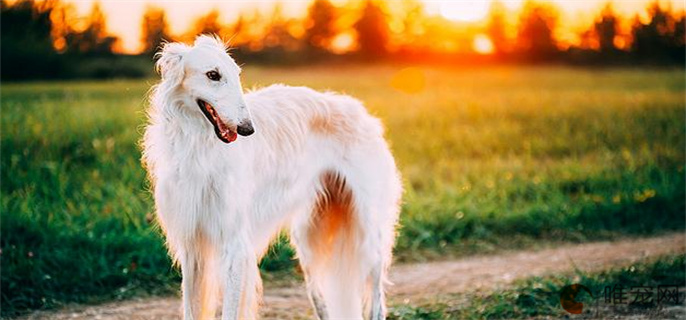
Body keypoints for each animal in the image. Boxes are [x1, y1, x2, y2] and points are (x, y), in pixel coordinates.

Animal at [144, 35, 404, 320]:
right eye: (213, 75)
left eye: (236, 74)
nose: (247, 129)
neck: (199, 146)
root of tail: (362, 113)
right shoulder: (191, 245)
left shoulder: (235, 244)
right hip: (308, 240)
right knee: (320, 298)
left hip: (368, 236)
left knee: (377, 300)